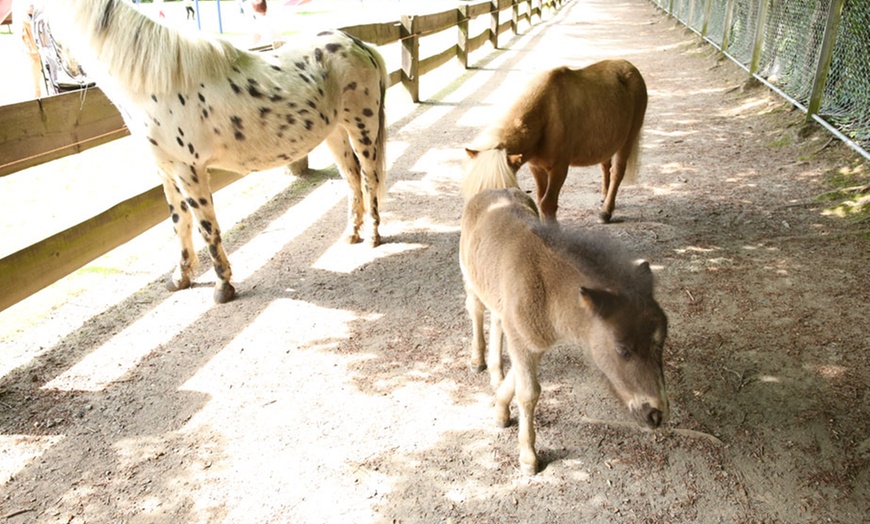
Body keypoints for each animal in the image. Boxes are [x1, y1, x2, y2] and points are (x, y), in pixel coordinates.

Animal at [46, 0, 388, 302]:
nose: (60, 78)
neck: (158, 81)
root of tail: (358, 44)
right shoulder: (166, 171)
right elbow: (179, 224)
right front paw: (180, 279)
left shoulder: (189, 170)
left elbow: (206, 228)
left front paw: (223, 287)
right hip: (336, 133)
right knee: (352, 179)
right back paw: (351, 233)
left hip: (362, 129)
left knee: (370, 179)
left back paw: (373, 236)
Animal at [460, 188, 672, 474]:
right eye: (622, 349)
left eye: (661, 343)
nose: (656, 414)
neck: (548, 289)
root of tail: (491, 191)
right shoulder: (523, 340)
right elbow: (529, 392)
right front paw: (528, 457)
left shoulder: (531, 339)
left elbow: (517, 379)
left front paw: (500, 410)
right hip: (469, 279)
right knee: (476, 309)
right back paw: (477, 361)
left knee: (496, 319)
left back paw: (495, 370)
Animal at [464, 60, 648, 224]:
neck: (545, 115)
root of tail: (631, 68)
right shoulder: (536, 167)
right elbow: (540, 198)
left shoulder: (559, 168)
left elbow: (548, 203)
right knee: (605, 166)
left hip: (629, 138)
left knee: (617, 171)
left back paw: (606, 212)